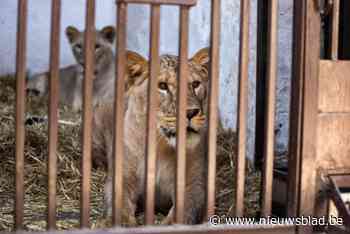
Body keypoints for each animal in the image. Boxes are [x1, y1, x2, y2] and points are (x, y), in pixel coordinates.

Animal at [91, 47, 211, 225]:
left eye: (195, 84)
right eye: (162, 86)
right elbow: (120, 202)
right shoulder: (123, 177)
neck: (160, 145)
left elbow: (184, 211)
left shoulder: (193, 184)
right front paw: (122, 223)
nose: (190, 112)